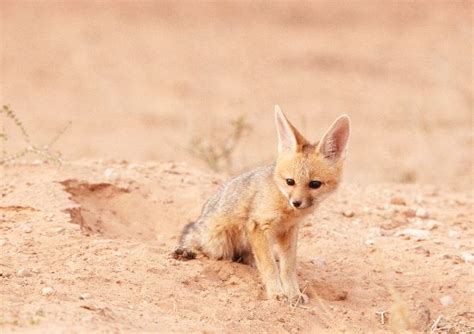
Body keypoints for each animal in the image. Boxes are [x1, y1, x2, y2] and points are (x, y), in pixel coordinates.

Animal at [172, 105, 350, 304]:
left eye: (315, 184)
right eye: (290, 181)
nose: (296, 202)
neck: (286, 209)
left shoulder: (289, 231)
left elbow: (288, 267)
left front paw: (293, 294)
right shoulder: (257, 226)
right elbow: (269, 265)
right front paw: (277, 293)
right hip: (217, 243)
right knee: (195, 240)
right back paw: (185, 251)